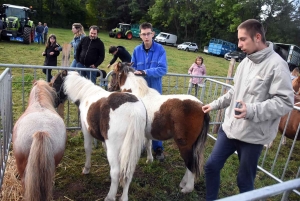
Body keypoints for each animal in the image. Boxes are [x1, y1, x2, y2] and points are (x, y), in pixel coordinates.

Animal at [51, 70, 147, 201]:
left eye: (56, 82)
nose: (54, 102)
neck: (85, 95)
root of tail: (134, 111)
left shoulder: (86, 130)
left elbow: (87, 148)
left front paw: (86, 169)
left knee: (117, 172)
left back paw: (110, 197)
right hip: (132, 147)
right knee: (128, 170)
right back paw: (124, 197)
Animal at [108, 61, 211, 193]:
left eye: (113, 74)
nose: (109, 88)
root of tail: (203, 107)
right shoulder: (146, 132)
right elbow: (148, 144)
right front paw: (149, 160)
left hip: (185, 145)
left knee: (190, 164)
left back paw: (187, 188)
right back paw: (183, 183)